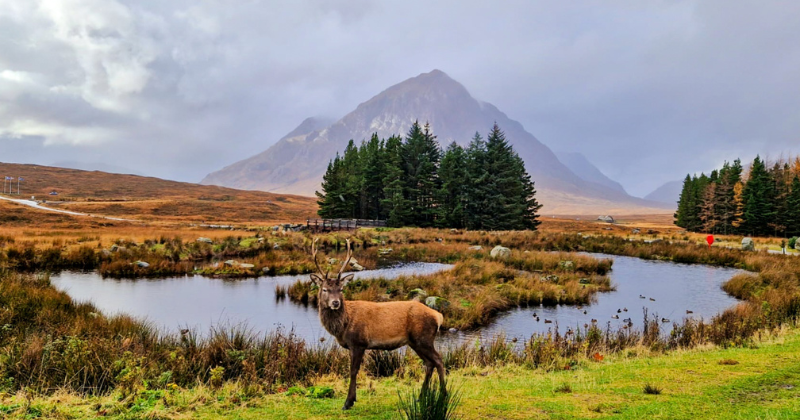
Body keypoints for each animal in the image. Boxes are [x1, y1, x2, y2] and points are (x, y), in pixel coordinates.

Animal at [309, 238, 446, 410]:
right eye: (325, 289)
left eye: (341, 289)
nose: (335, 303)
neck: (343, 327)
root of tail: (438, 316)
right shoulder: (352, 345)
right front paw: (352, 399)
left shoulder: (359, 342)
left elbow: (353, 371)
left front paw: (348, 402)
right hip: (415, 342)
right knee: (429, 363)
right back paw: (421, 397)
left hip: (424, 338)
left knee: (438, 359)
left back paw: (443, 394)